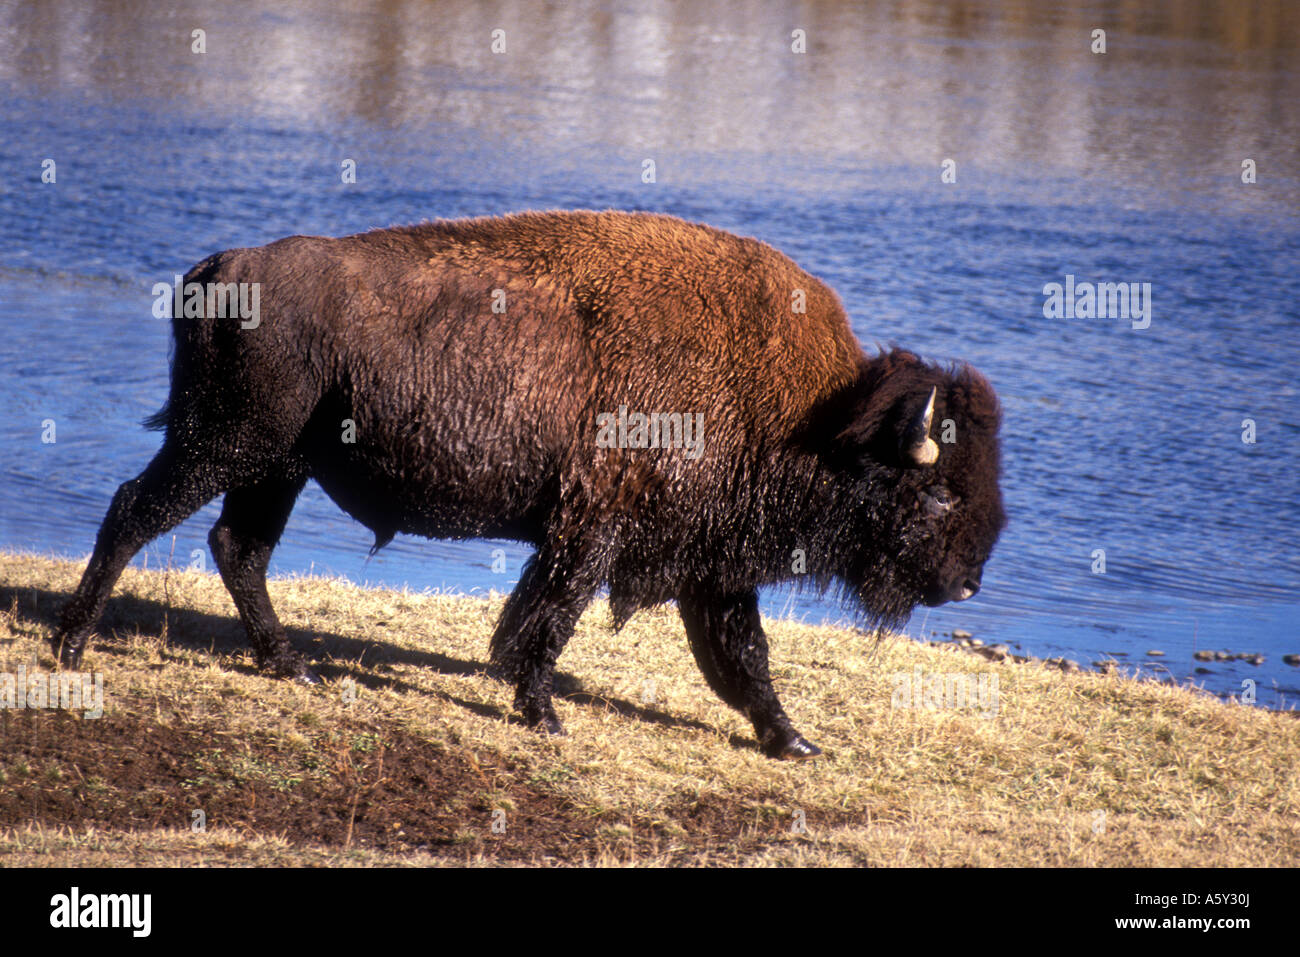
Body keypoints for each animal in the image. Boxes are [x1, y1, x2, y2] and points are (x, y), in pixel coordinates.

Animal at [53, 210, 1005, 758]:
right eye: (940, 494)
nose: (967, 582)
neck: (813, 414)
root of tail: (222, 266)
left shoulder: (710, 565)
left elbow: (743, 657)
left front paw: (793, 740)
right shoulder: (593, 532)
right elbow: (547, 621)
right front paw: (543, 713)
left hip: (278, 467)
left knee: (236, 546)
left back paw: (294, 668)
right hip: (223, 445)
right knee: (135, 512)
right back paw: (70, 647)